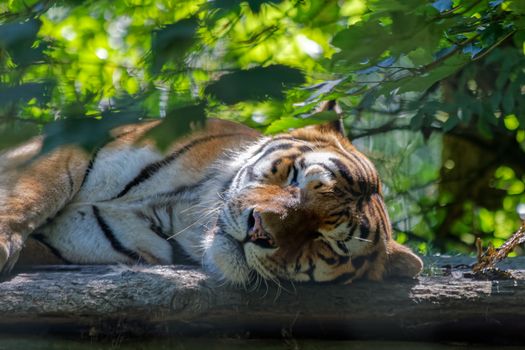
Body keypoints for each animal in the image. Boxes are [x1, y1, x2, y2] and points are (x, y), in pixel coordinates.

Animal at [0, 103, 422, 284]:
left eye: (329, 242)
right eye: (296, 178)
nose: (258, 230)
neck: (180, 208)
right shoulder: (66, 150)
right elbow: (31, 193)